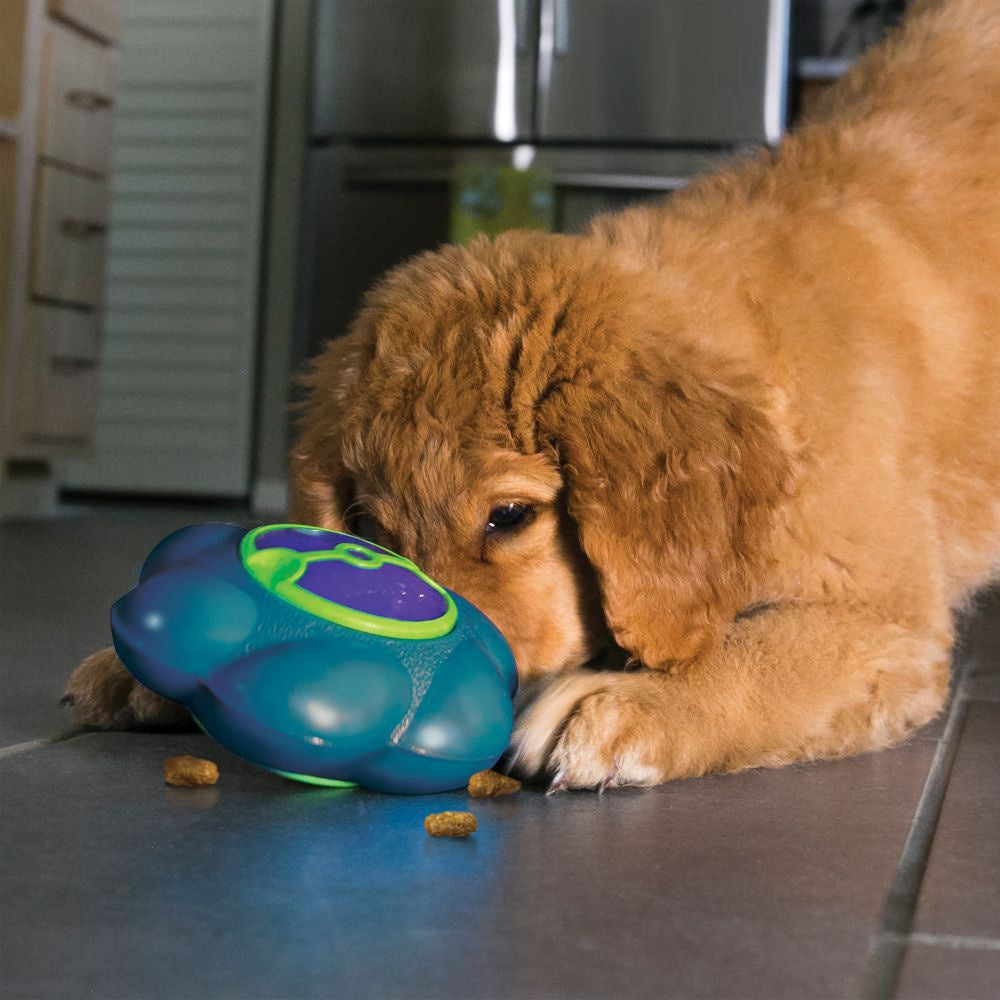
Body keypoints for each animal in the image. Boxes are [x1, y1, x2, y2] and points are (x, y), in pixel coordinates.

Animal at [66, 0, 996, 792]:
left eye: (510, 517)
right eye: (368, 526)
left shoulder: (887, 622)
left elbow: (761, 652)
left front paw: (638, 700)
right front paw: (142, 673)